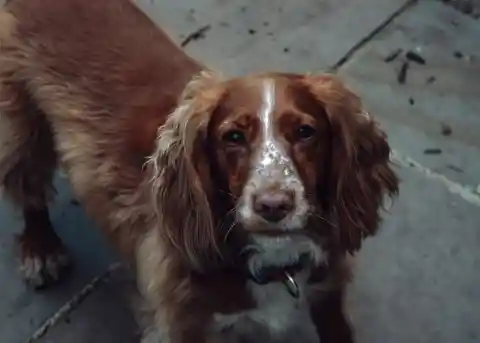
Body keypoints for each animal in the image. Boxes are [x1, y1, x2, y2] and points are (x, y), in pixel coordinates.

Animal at [0, 0, 400, 342]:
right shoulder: (182, 320)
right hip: (19, 124)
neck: (271, 257)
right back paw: (42, 249)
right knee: (28, 185)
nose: (273, 206)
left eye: (305, 132)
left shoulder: (328, 285)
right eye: (233, 137)